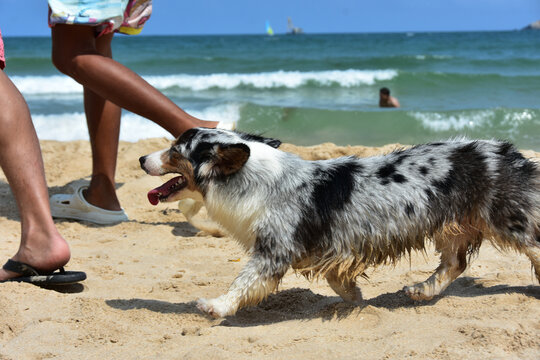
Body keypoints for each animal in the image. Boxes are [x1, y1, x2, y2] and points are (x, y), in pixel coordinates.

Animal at [140, 129, 540, 318]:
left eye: (175, 149)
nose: (142, 158)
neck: (253, 179)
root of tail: (509, 152)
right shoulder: (332, 246)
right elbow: (337, 279)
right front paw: (355, 298)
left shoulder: (273, 250)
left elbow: (243, 282)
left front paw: (217, 307)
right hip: (452, 225)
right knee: (455, 263)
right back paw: (422, 290)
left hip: (508, 219)